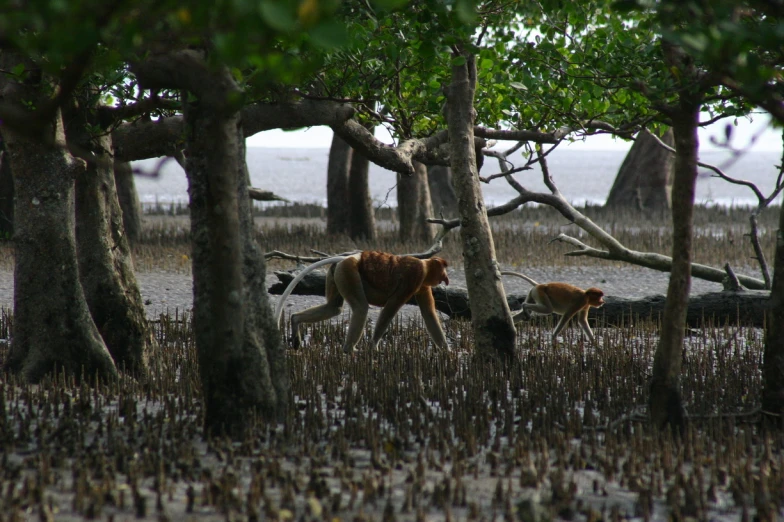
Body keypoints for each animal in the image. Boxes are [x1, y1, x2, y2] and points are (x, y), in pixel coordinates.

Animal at [276, 250, 450, 352]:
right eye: (443, 268)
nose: (446, 278)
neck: (425, 266)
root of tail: (348, 257)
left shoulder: (423, 285)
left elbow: (428, 313)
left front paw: (447, 352)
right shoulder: (414, 277)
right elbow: (391, 308)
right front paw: (373, 347)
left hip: (337, 273)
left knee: (333, 308)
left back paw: (295, 321)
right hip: (348, 271)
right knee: (361, 308)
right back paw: (349, 350)